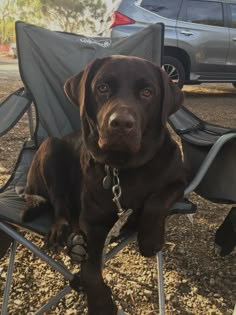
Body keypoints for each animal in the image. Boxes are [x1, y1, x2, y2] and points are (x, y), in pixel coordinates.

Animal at [23, 55, 187, 314]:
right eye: (102, 88)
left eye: (147, 92)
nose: (120, 123)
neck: (124, 169)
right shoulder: (93, 222)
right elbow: (91, 270)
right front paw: (101, 303)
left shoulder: (179, 180)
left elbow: (157, 199)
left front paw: (150, 239)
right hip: (51, 147)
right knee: (60, 203)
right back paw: (66, 235)